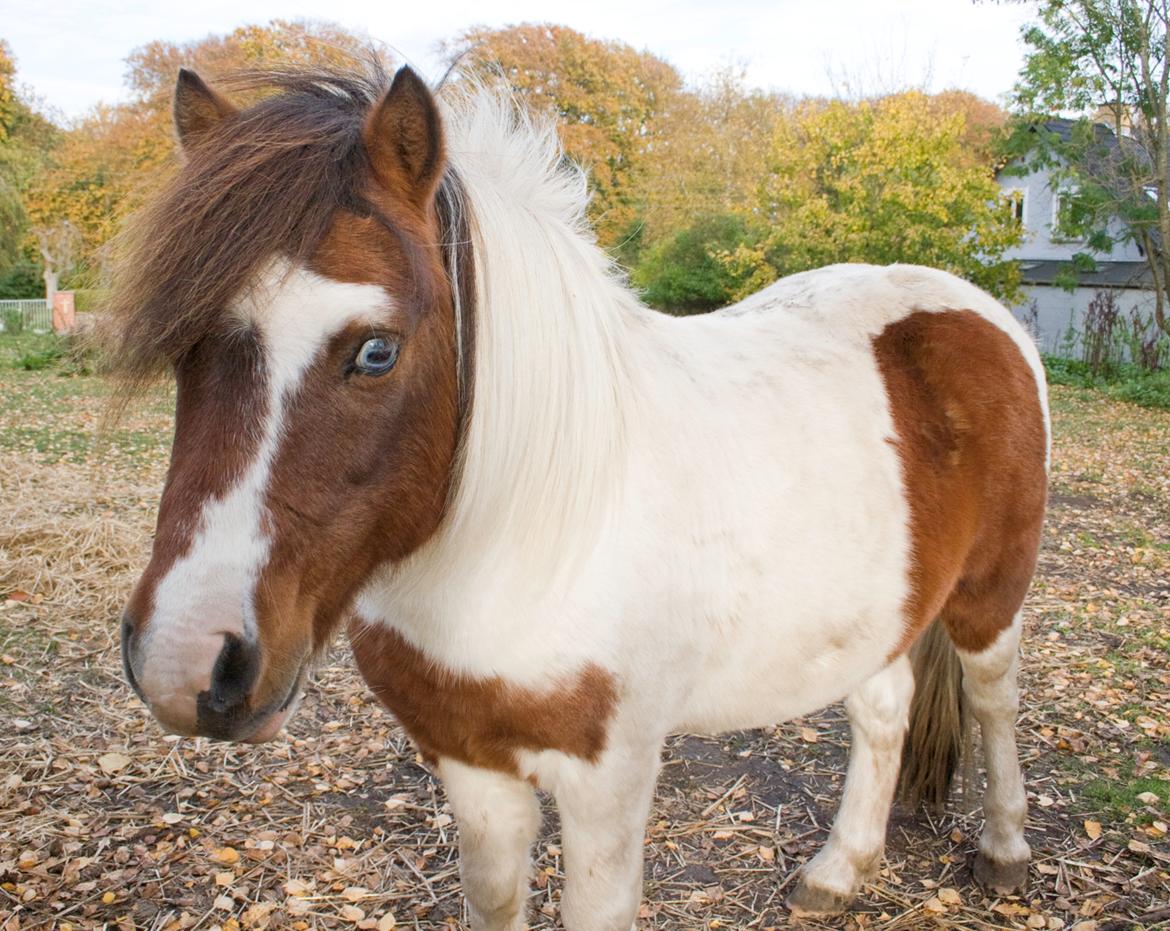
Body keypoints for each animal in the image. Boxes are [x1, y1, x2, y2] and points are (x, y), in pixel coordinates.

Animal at [116, 61, 1053, 926]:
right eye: (185, 343)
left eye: (376, 351)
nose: (187, 660)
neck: (539, 533)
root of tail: (968, 307)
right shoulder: (471, 762)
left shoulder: (609, 777)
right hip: (876, 606)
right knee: (882, 709)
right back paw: (839, 868)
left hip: (989, 596)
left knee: (995, 697)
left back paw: (1005, 849)